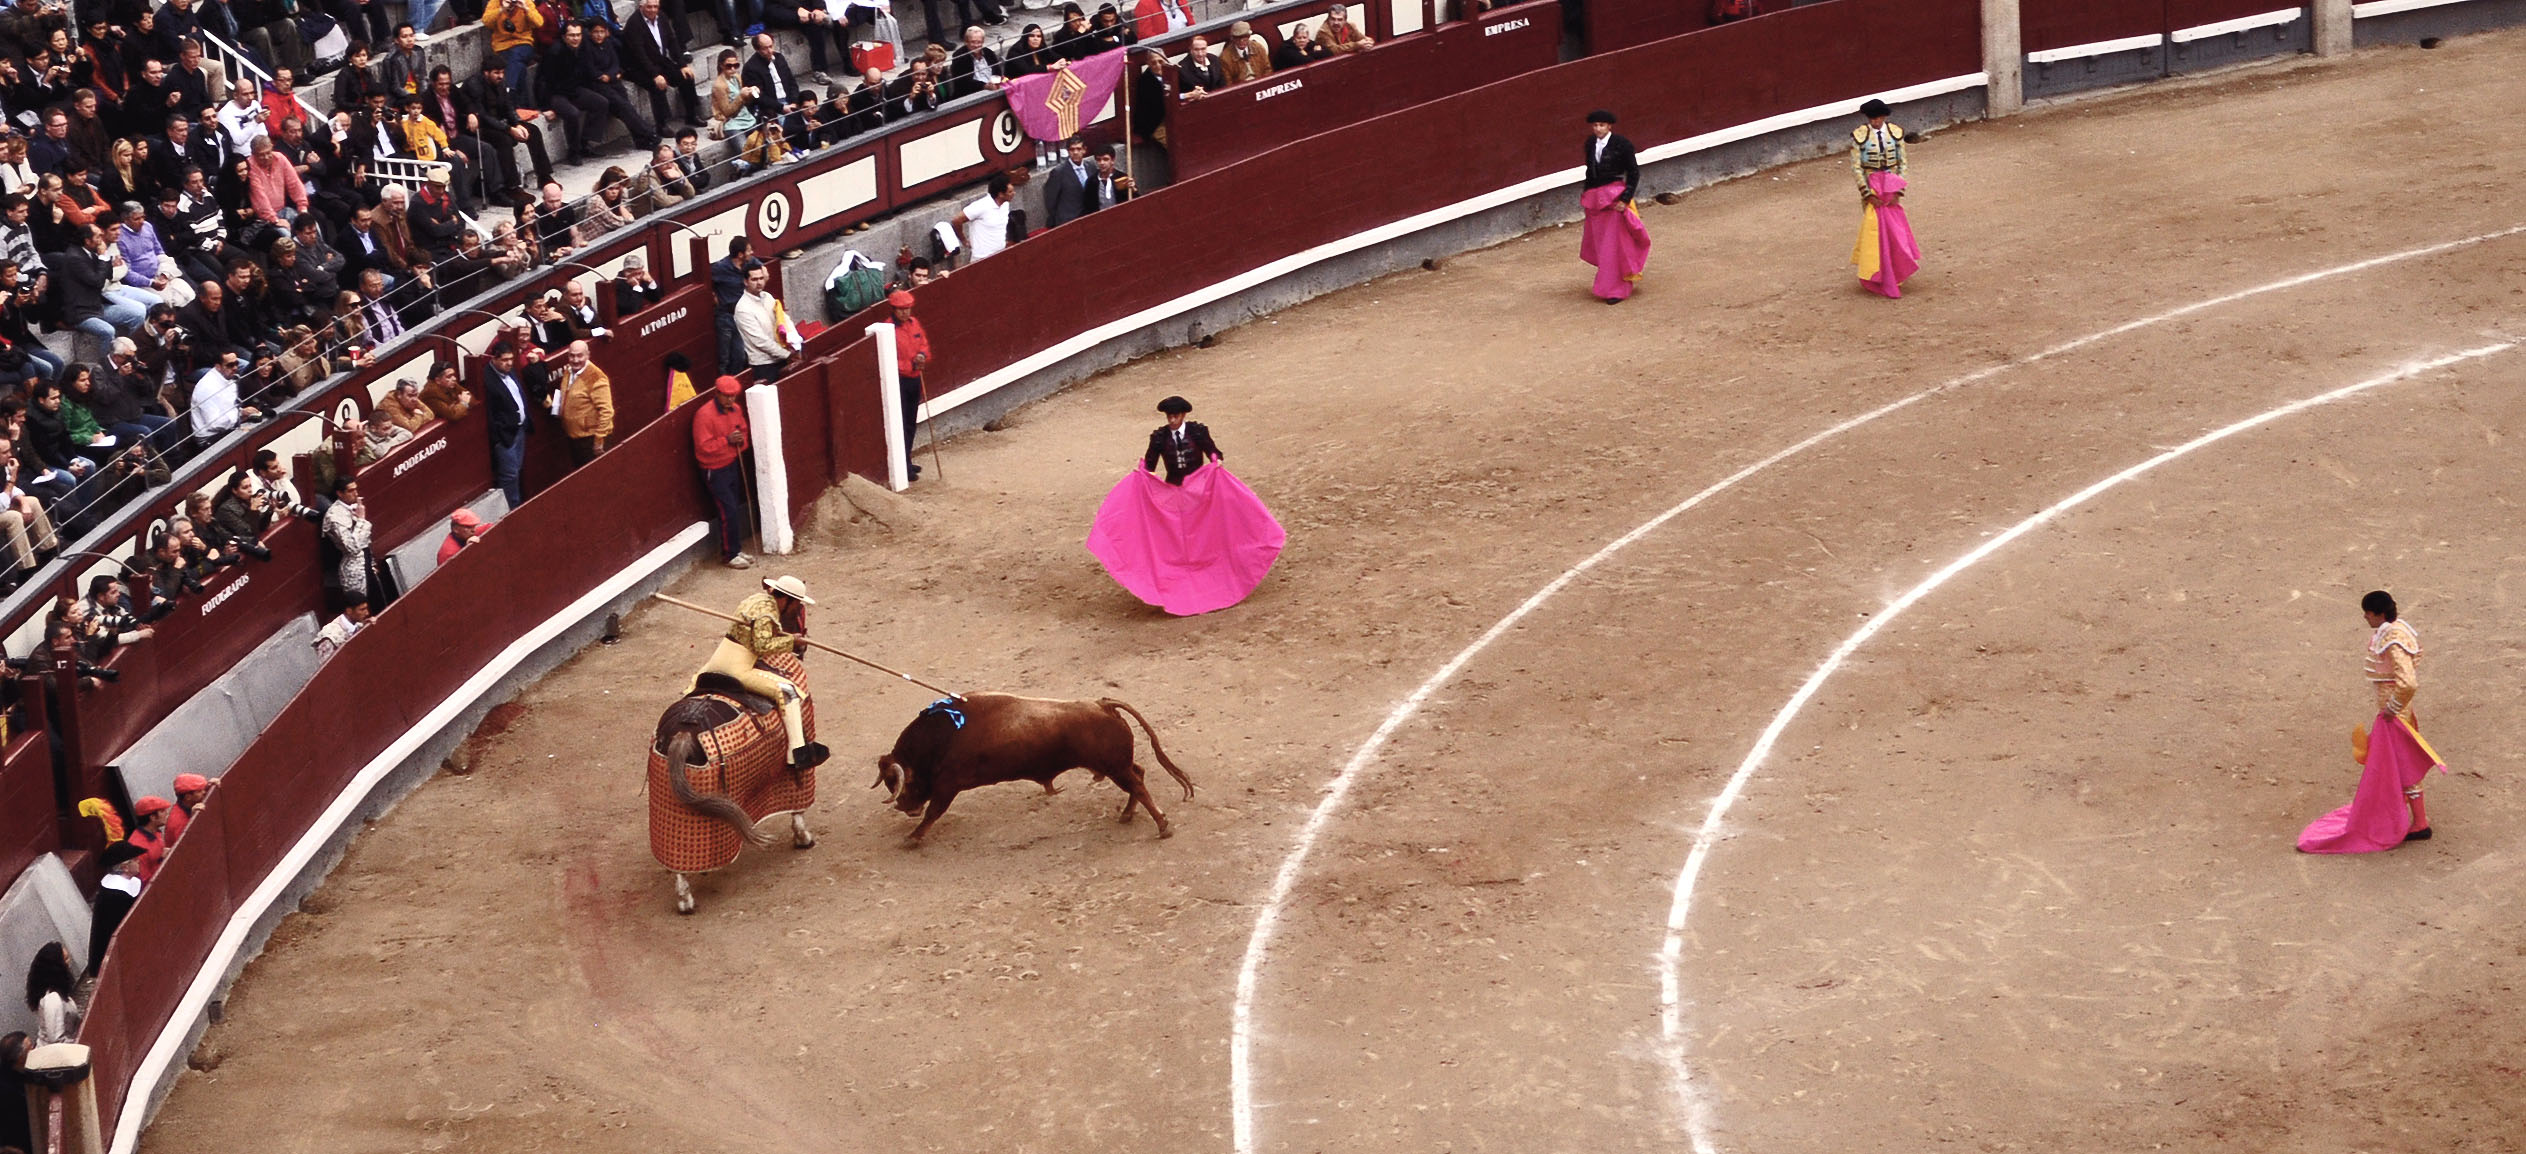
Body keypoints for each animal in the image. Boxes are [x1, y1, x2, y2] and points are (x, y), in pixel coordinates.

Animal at [879, 691, 1192, 838]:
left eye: (905, 784)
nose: (903, 807)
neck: (941, 737)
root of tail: (1102, 704)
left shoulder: (948, 785)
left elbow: (933, 812)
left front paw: (912, 838)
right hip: (1117, 766)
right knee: (1138, 776)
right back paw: (1128, 815)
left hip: (1115, 767)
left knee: (1137, 784)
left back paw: (1163, 826)